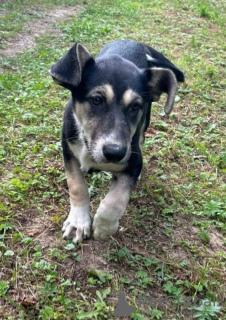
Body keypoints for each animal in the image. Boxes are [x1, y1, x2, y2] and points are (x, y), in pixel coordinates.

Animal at [49, 40, 184, 245]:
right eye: (97, 100)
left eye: (135, 106)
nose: (115, 153)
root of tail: (135, 42)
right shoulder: (68, 151)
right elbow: (76, 186)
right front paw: (78, 223)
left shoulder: (133, 160)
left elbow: (116, 199)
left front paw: (104, 227)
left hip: (144, 124)